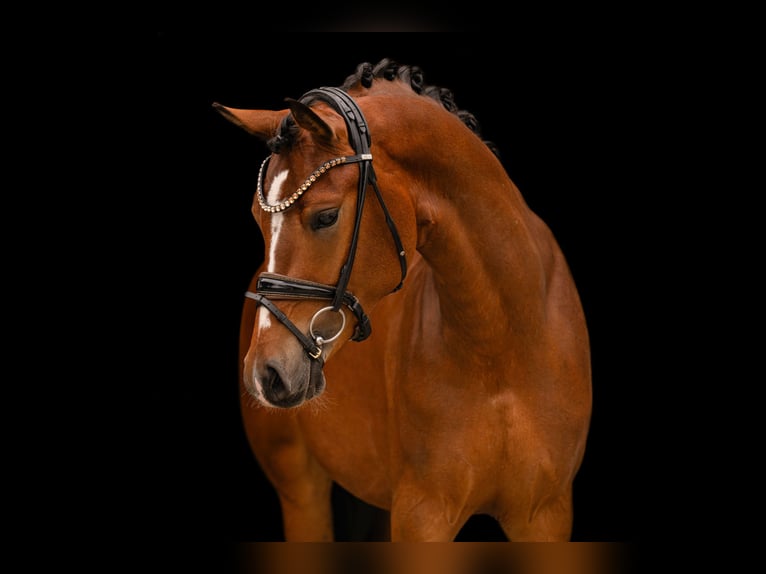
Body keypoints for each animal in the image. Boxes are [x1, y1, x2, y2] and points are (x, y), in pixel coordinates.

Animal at [213, 58, 592, 541]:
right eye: (256, 218)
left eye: (326, 216)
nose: (266, 373)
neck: (503, 345)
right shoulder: (422, 514)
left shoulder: (546, 515)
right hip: (300, 489)